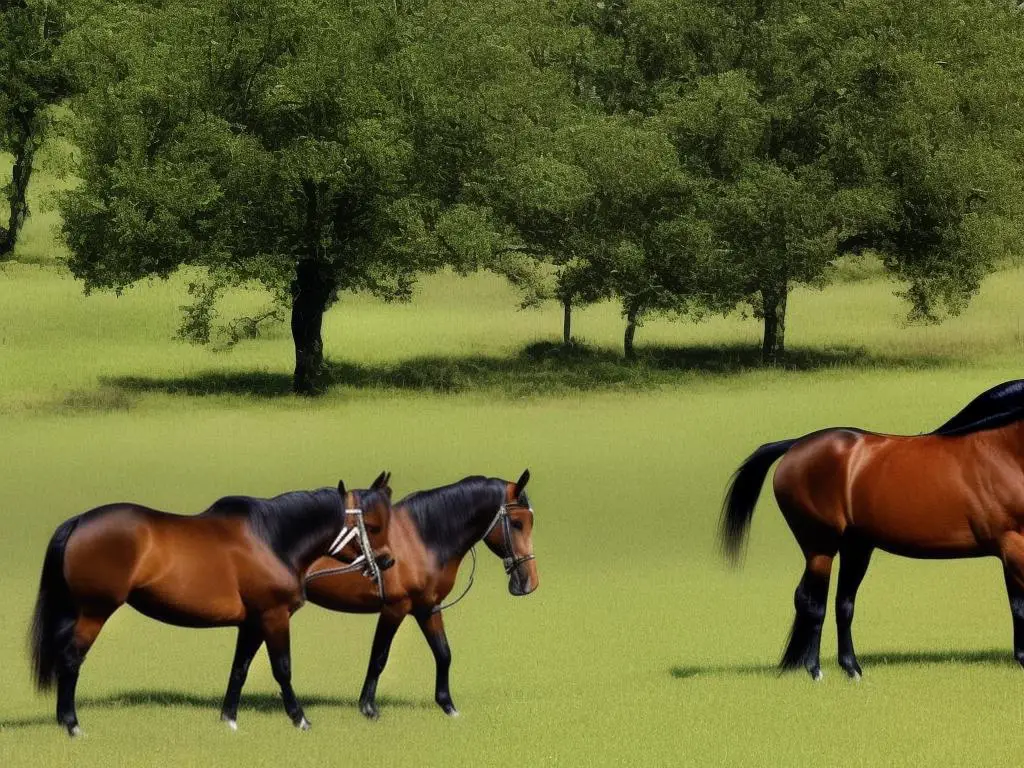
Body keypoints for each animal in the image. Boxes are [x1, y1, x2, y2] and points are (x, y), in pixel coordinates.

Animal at [28, 473, 395, 737]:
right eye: (372, 526)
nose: (388, 561)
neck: (271, 538)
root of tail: (79, 521)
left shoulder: (252, 622)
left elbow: (240, 669)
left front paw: (229, 719)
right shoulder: (274, 616)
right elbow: (283, 668)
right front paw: (300, 719)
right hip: (94, 612)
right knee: (71, 659)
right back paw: (73, 725)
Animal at [303, 468, 540, 720]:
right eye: (517, 523)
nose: (531, 582)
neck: (419, 540)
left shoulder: (428, 608)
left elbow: (444, 653)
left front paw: (448, 706)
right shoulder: (394, 609)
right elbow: (378, 657)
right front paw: (368, 707)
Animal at [720, 382, 1024, 684]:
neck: (1005, 453)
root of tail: (795, 445)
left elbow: (1016, 604)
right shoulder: (1013, 545)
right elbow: (1020, 604)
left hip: (855, 549)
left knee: (841, 604)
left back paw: (851, 668)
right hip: (820, 548)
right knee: (813, 603)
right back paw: (816, 671)